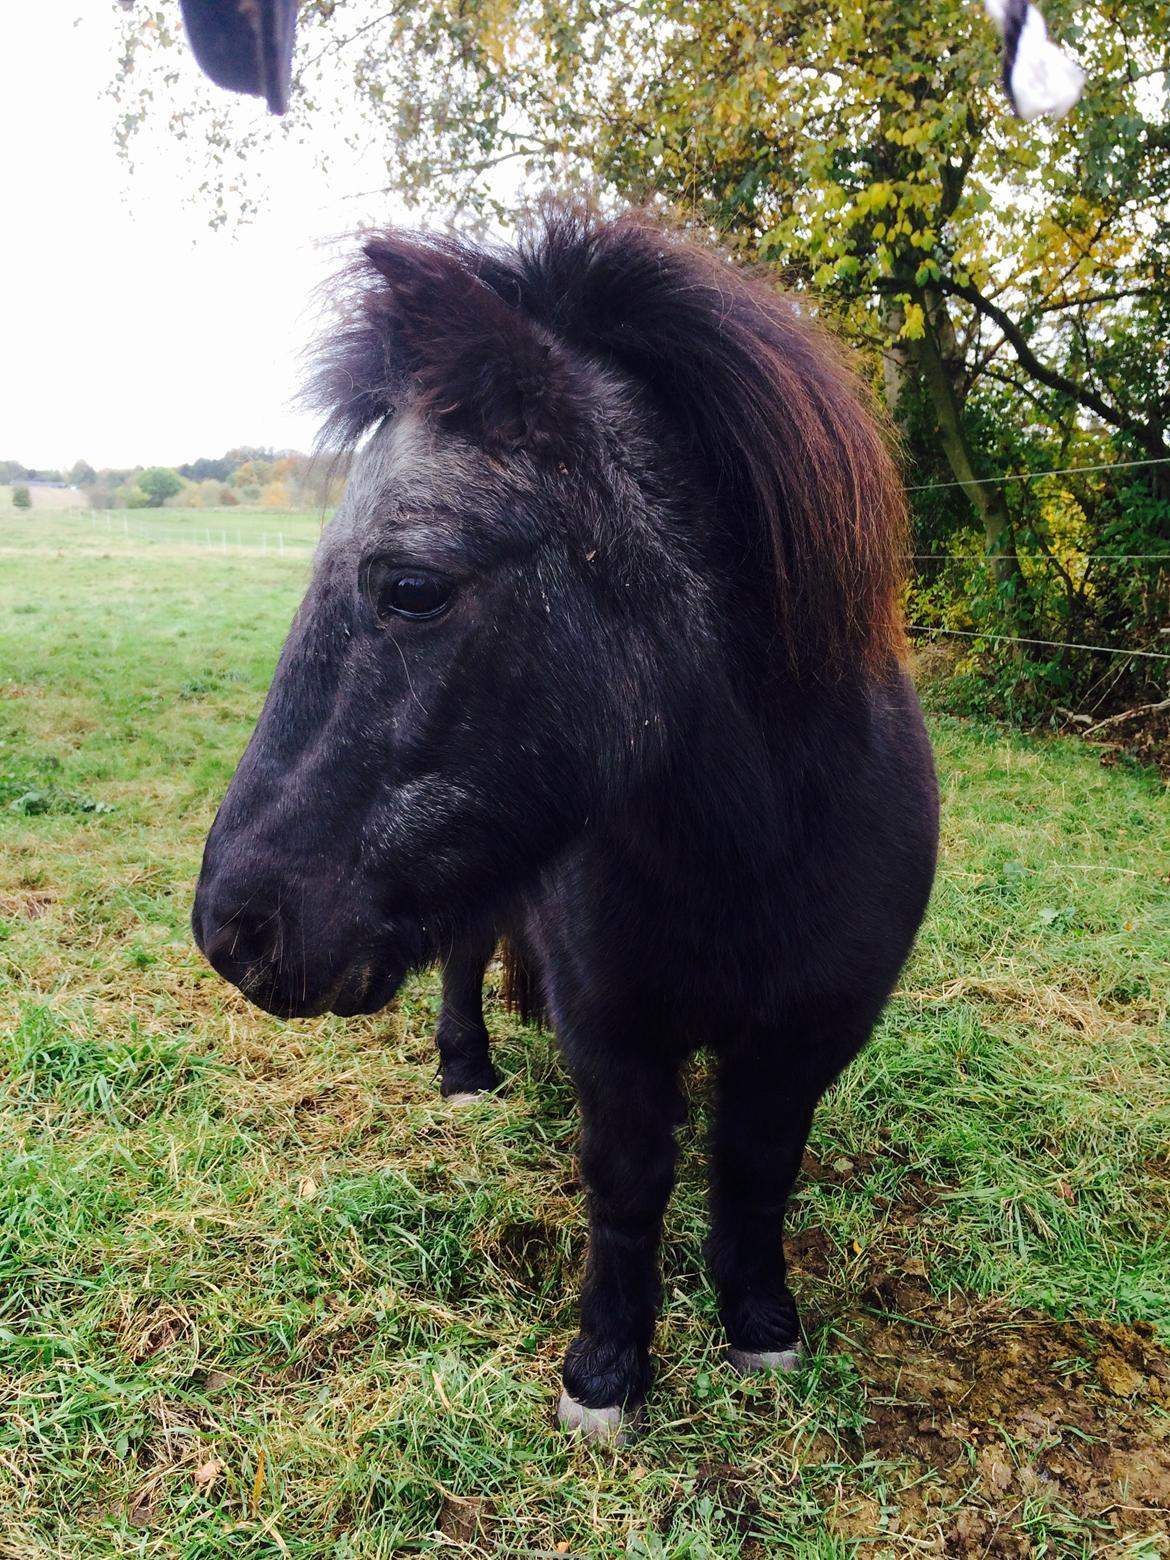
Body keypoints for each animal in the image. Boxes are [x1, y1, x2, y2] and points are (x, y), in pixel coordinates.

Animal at [195, 204, 942, 1435]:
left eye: (411, 587)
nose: (232, 928)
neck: (752, 843)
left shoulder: (812, 1032)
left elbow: (757, 1169)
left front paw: (759, 1323)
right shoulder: (611, 1030)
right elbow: (628, 1183)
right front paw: (606, 1368)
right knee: (463, 960)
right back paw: (465, 1070)